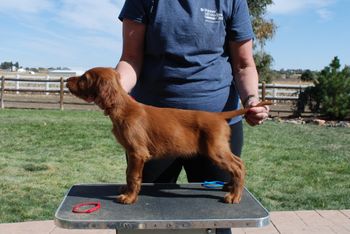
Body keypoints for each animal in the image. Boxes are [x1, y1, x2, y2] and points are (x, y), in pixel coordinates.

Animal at [67, 66, 272, 204]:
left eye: (84, 78)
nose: (67, 81)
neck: (122, 107)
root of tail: (218, 116)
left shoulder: (137, 152)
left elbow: (133, 176)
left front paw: (129, 197)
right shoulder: (132, 154)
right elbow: (127, 173)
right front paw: (125, 189)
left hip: (215, 150)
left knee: (238, 166)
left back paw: (234, 195)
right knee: (237, 164)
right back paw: (230, 187)